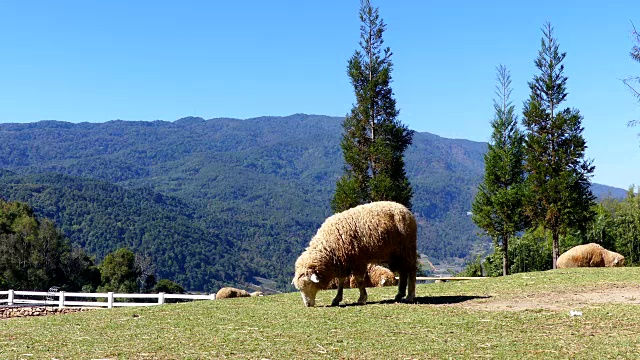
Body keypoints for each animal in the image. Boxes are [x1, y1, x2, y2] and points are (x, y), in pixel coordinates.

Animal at [292, 200, 420, 306]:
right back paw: (399, 295)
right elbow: (341, 281)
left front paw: (362, 298)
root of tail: (406, 210)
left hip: (407, 249)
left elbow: (359, 280)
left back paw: (410, 296)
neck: (329, 247)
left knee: (411, 271)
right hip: (396, 254)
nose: (307, 305)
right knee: (403, 272)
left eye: (308, 284)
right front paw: (337, 299)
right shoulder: (342, 261)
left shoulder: (358, 260)